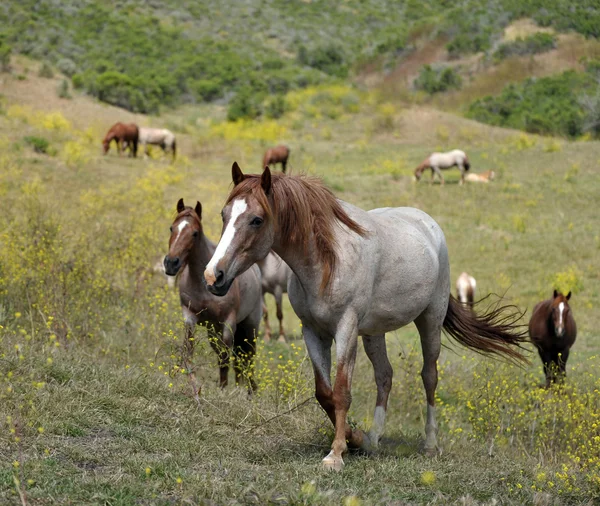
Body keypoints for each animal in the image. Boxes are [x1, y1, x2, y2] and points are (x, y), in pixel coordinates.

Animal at [163, 198, 262, 396]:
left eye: (195, 233)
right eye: (172, 228)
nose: (171, 263)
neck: (204, 284)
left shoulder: (228, 323)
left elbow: (225, 358)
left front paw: (223, 390)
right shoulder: (190, 317)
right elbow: (189, 351)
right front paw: (190, 382)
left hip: (250, 326)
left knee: (247, 357)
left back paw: (248, 390)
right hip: (213, 331)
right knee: (237, 359)